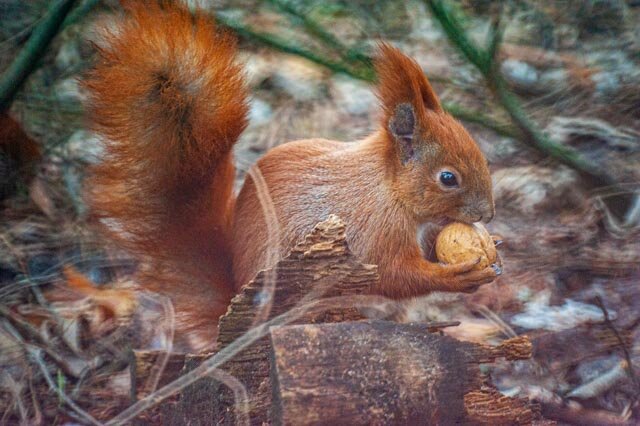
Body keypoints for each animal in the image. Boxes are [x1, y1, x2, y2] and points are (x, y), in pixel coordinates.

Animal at [81, 1, 500, 352]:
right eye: (448, 178)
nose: (488, 214)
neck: (389, 190)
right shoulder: (373, 231)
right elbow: (394, 275)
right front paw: (456, 277)